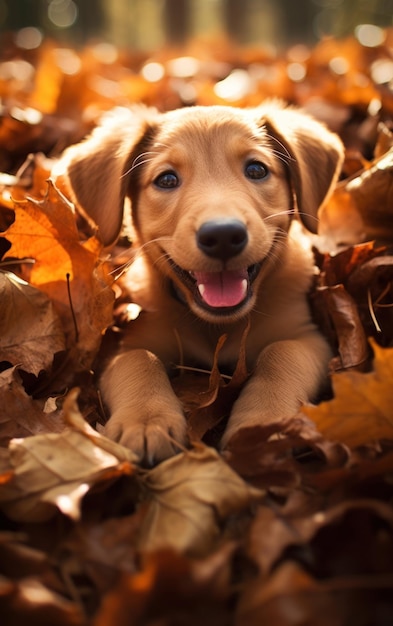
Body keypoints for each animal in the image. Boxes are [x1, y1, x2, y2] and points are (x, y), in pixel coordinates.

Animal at [56, 103, 344, 464]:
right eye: (166, 179)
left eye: (257, 169)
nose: (222, 235)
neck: (217, 325)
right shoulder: (124, 343)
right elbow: (139, 360)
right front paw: (146, 421)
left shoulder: (308, 337)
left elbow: (283, 354)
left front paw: (264, 425)